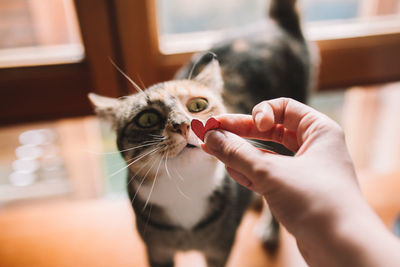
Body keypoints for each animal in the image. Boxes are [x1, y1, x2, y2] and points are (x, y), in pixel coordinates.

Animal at [89, 0, 318, 267]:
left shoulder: (219, 249)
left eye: (198, 105)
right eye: (147, 119)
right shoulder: (156, 250)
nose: (183, 124)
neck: (185, 191)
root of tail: (277, 24)